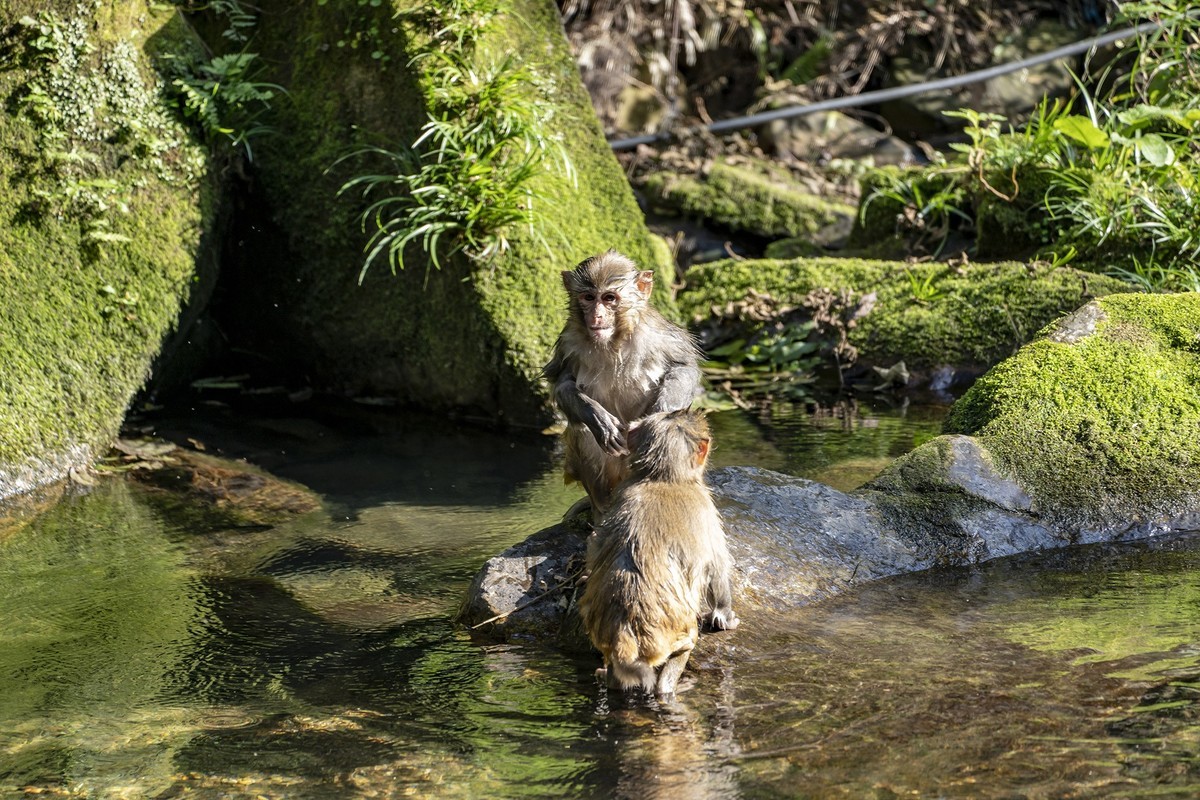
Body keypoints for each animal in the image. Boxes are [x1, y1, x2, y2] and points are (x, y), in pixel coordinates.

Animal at [544, 248, 700, 520]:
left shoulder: (659, 334)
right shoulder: (568, 340)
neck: (614, 340)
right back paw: (602, 510)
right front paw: (597, 417)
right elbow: (563, 382)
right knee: (581, 431)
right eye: (588, 297)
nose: (596, 315)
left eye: (609, 298)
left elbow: (684, 367)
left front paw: (659, 412)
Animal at [576, 410, 734, 695]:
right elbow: (716, 568)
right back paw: (672, 677)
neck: (663, 477)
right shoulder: (705, 508)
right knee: (682, 646)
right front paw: (724, 613)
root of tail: (624, 631)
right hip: (670, 634)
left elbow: (595, 543)